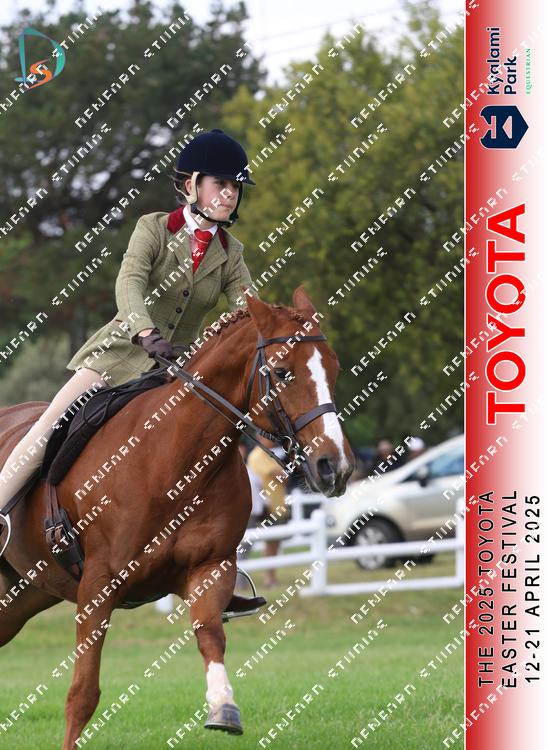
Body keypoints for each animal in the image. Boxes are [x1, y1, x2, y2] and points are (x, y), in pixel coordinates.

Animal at [0, 286, 355, 748]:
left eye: (334, 369)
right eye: (281, 373)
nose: (335, 467)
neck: (175, 460)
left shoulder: (209, 568)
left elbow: (210, 635)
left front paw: (223, 708)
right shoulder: (97, 586)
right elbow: (83, 693)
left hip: (23, 595)